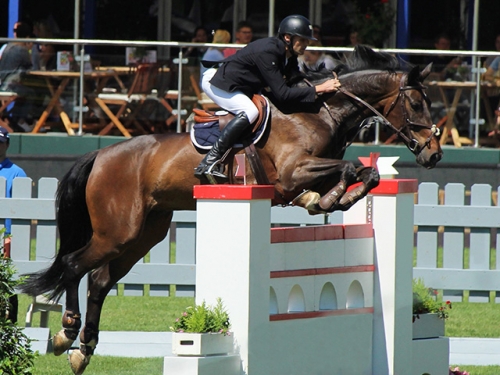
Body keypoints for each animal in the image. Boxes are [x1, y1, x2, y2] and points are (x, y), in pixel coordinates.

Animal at [19, 44, 442, 375]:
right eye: (416, 103)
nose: (434, 155)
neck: (320, 111)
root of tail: (102, 154)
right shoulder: (293, 172)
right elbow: (352, 169)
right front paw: (327, 199)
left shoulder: (307, 174)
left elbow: (366, 173)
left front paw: (331, 200)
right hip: (117, 231)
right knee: (74, 265)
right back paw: (66, 333)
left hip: (145, 233)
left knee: (100, 280)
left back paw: (83, 350)